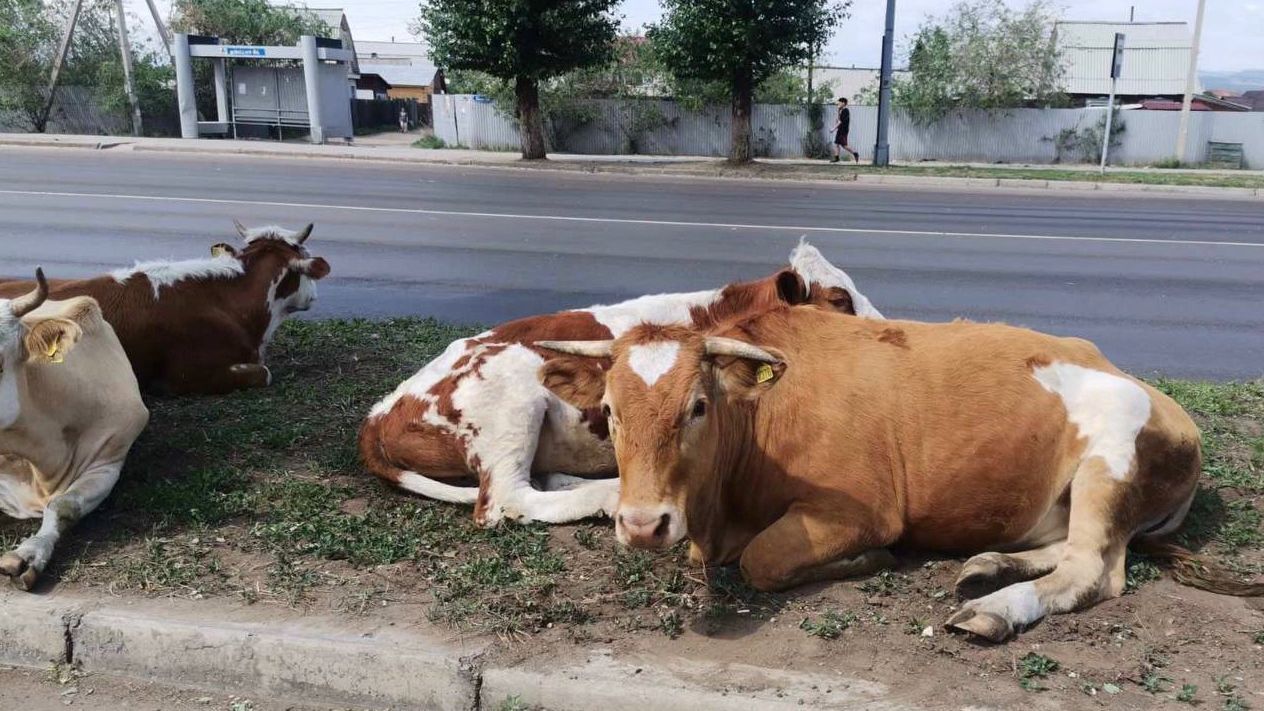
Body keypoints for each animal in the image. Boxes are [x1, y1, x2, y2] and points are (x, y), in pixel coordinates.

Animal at [540, 304, 1264, 637]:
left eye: (697, 405)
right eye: (610, 411)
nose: (642, 524)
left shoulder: (857, 509)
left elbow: (762, 560)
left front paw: (867, 561)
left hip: (1108, 459)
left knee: (1094, 568)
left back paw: (994, 609)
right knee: (1071, 549)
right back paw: (988, 565)